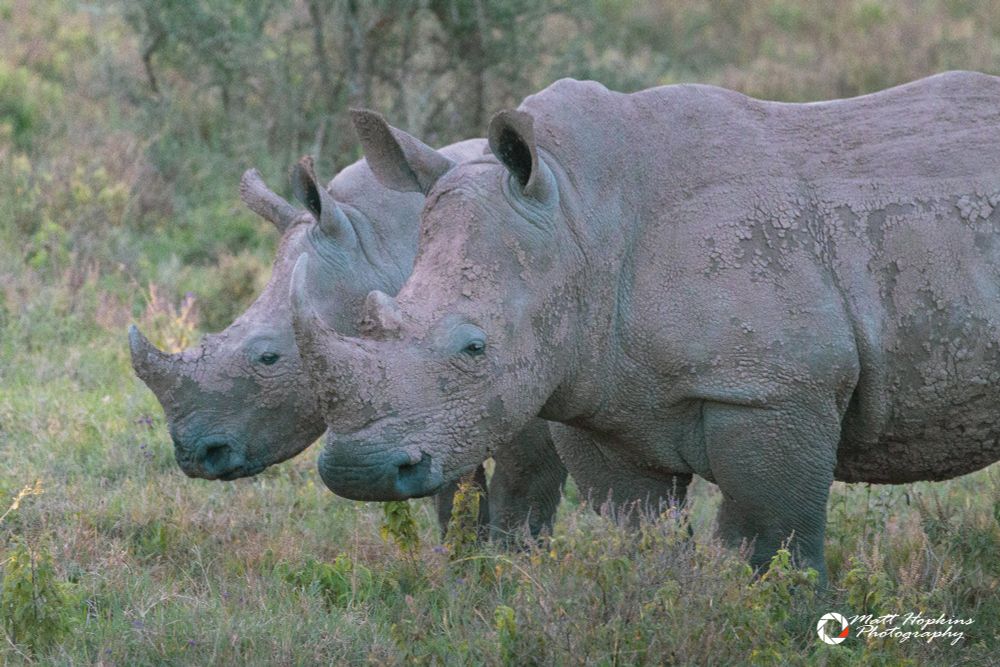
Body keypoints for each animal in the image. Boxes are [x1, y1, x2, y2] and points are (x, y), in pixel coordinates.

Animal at [128, 142, 566, 539]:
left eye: (269, 358)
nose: (196, 455)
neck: (379, 244)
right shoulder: (432, 408)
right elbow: (454, 497)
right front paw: (462, 563)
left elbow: (523, 490)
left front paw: (509, 564)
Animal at [289, 71, 1000, 582]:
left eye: (474, 348)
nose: (358, 471)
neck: (581, 214)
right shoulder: (599, 394)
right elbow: (647, 539)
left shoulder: (772, 390)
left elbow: (773, 543)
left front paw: (783, 624)